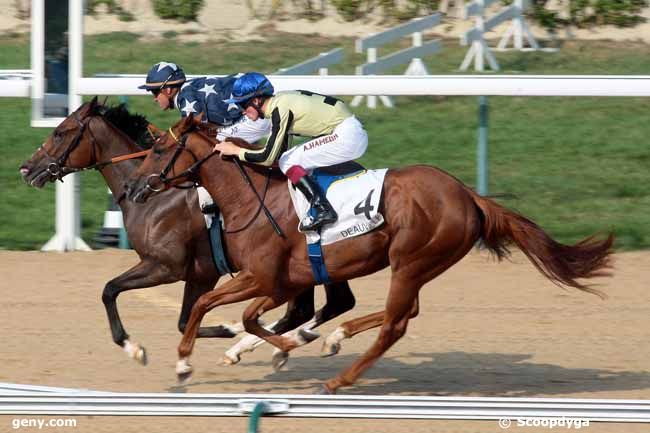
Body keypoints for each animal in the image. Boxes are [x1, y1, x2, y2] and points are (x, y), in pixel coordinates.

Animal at [19, 97, 354, 364]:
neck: (156, 199)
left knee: (310, 308)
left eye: (60, 132)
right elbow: (183, 320)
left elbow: (109, 289)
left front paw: (133, 347)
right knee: (331, 304)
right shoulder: (200, 274)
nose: (26, 168)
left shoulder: (166, 267)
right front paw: (226, 330)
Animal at [125, 114, 612, 392]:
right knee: (404, 312)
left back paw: (340, 377)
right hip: (416, 264)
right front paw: (282, 346)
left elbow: (215, 308)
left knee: (397, 322)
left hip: (412, 260)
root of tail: (468, 195)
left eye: (161, 149)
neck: (249, 198)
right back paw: (336, 340)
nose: (133, 188)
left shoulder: (265, 278)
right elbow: (237, 314)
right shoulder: (280, 280)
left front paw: (186, 364)